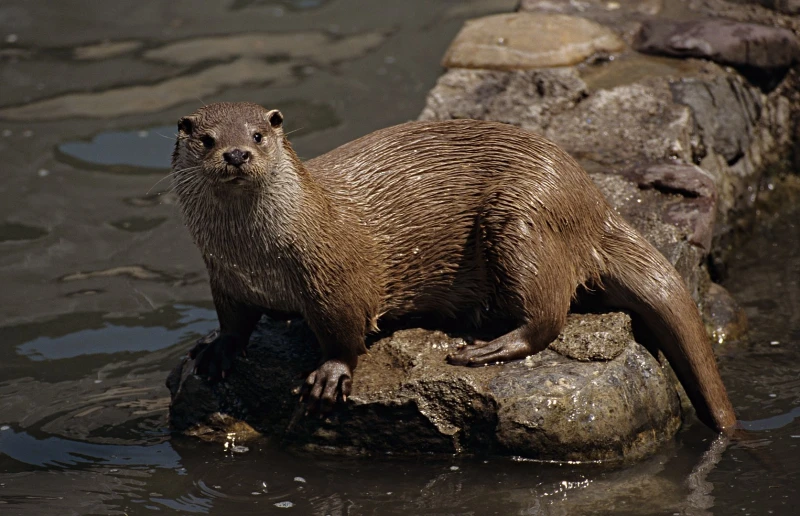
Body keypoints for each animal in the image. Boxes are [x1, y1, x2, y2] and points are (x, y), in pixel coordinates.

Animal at [171, 102, 737, 434]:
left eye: (257, 135)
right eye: (207, 139)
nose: (237, 154)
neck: (259, 255)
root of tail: (594, 202)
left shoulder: (335, 279)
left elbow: (344, 332)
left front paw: (330, 375)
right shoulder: (224, 277)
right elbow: (233, 321)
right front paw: (215, 350)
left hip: (524, 219)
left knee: (549, 313)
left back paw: (487, 348)